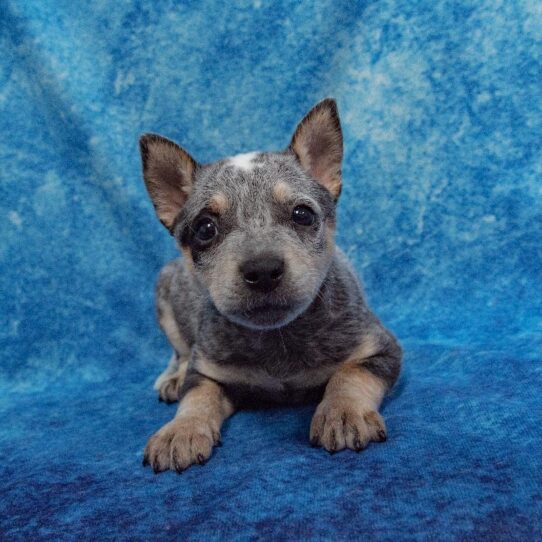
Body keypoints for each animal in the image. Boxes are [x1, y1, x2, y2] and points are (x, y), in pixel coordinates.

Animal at [140, 100, 404, 474]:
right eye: (205, 228)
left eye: (303, 214)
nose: (262, 270)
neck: (278, 340)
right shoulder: (207, 372)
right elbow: (197, 397)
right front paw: (181, 430)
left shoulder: (380, 349)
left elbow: (349, 376)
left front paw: (342, 412)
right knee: (178, 352)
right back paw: (172, 379)